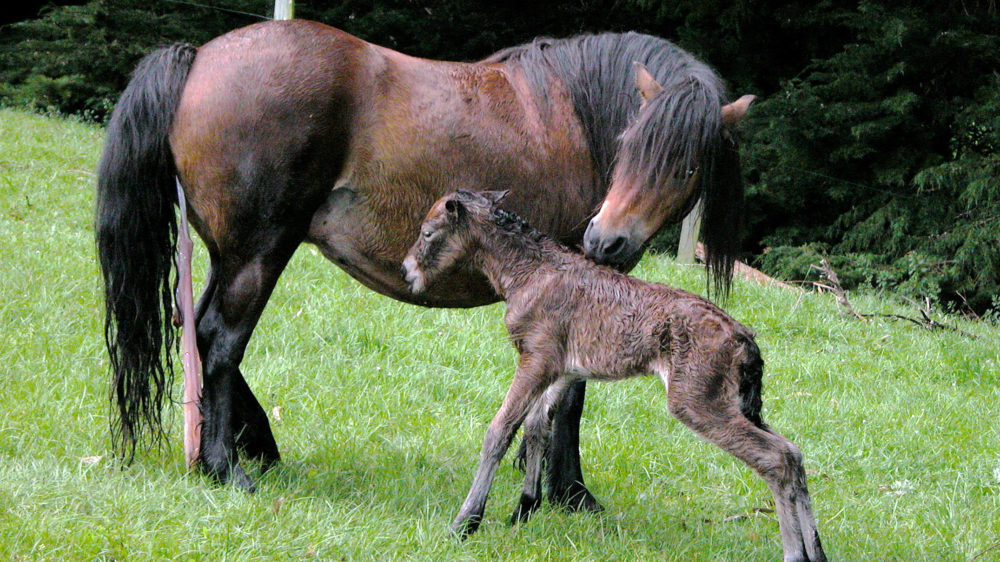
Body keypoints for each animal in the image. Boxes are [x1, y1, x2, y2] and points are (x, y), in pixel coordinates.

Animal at [95, 19, 752, 496]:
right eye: (629, 143)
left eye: (688, 166)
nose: (605, 240)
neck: (573, 111)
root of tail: (199, 58)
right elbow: (570, 396)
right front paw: (569, 493)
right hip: (258, 254)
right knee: (220, 341)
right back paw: (227, 466)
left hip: (228, 256)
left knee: (195, 332)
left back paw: (246, 448)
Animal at [402, 190, 824, 556]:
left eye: (428, 231)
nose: (407, 271)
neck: (530, 272)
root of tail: (744, 339)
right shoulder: (563, 369)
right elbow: (538, 427)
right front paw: (524, 509)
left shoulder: (536, 359)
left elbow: (499, 431)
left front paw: (465, 522)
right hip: (738, 404)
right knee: (794, 453)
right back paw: (816, 551)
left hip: (696, 401)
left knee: (776, 458)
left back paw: (794, 553)